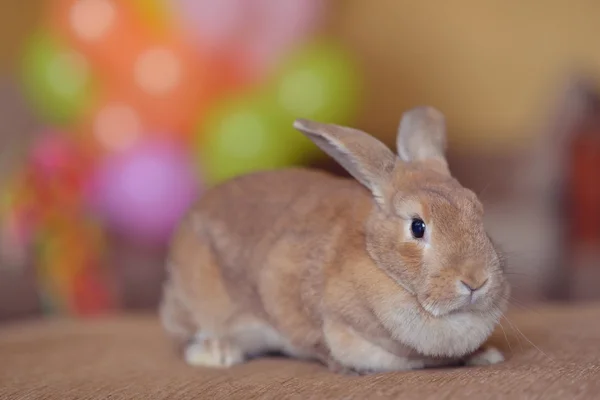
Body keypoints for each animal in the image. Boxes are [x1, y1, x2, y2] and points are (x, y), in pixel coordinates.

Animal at [159, 106, 510, 376]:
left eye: (477, 210)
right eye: (417, 227)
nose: (476, 280)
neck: (377, 259)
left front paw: (486, 355)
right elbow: (315, 341)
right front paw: (346, 367)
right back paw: (217, 353)